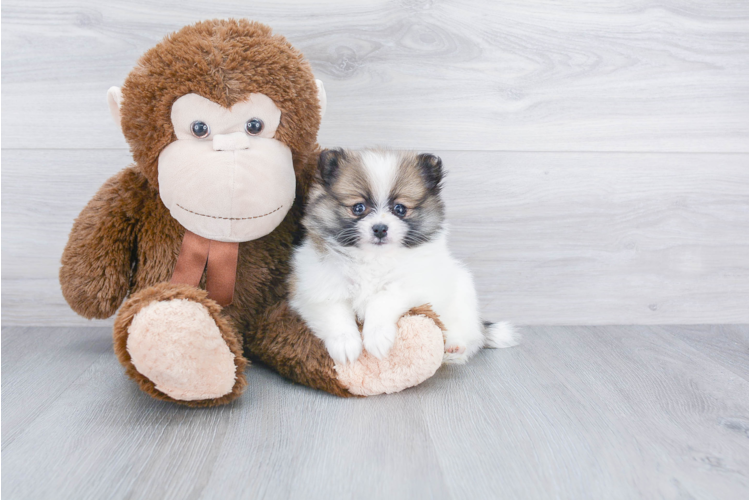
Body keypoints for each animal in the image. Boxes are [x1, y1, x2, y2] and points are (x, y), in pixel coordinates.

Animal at [288, 147, 516, 364]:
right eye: (358, 207)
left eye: (400, 209)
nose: (380, 228)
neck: (373, 259)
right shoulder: (318, 288)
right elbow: (336, 314)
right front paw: (345, 344)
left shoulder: (411, 284)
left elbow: (381, 301)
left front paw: (377, 337)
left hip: (462, 296)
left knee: (470, 335)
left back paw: (455, 347)